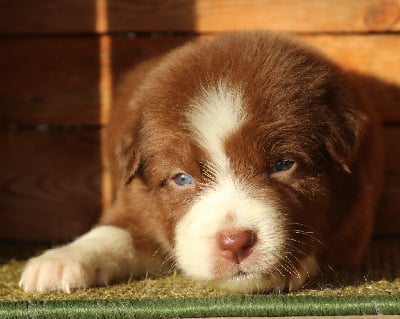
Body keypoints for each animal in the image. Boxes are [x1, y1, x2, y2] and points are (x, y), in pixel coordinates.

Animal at [18, 32, 382, 296]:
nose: (235, 242)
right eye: (182, 178)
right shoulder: (136, 200)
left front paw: (288, 267)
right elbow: (113, 232)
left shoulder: (358, 212)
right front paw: (58, 261)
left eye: (283, 165)